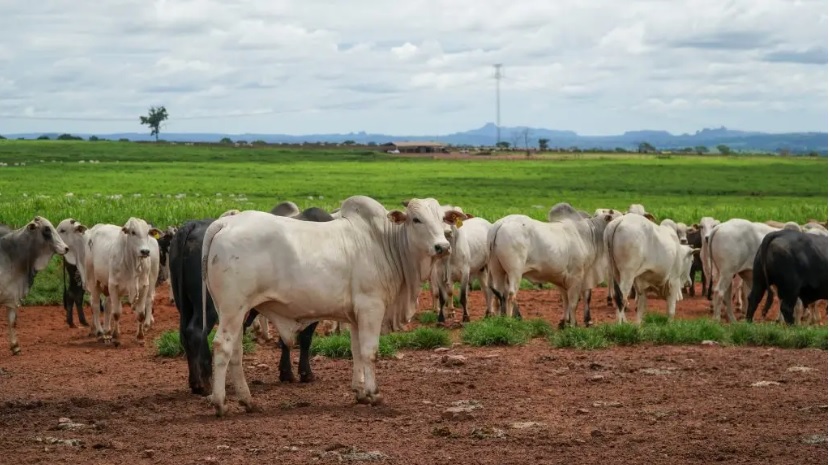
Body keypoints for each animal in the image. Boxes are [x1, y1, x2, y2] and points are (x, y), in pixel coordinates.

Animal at [200, 196, 464, 416]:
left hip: (237, 311)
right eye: (417, 219)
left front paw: (360, 392)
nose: (442, 246)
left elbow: (356, 351)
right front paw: (374, 393)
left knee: (236, 350)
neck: (383, 242)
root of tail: (226, 222)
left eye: (443, 219)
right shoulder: (371, 307)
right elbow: (370, 352)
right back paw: (220, 403)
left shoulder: (357, 316)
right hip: (233, 309)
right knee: (222, 346)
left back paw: (247, 400)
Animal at [488, 208, 621, 327]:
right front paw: (575, 324)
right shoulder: (578, 276)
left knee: (498, 294)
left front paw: (564, 322)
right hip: (514, 272)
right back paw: (509, 321)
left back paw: (499, 319)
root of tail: (500, 224)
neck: (588, 235)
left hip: (497, 270)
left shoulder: (562, 278)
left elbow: (565, 300)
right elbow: (575, 301)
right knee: (510, 295)